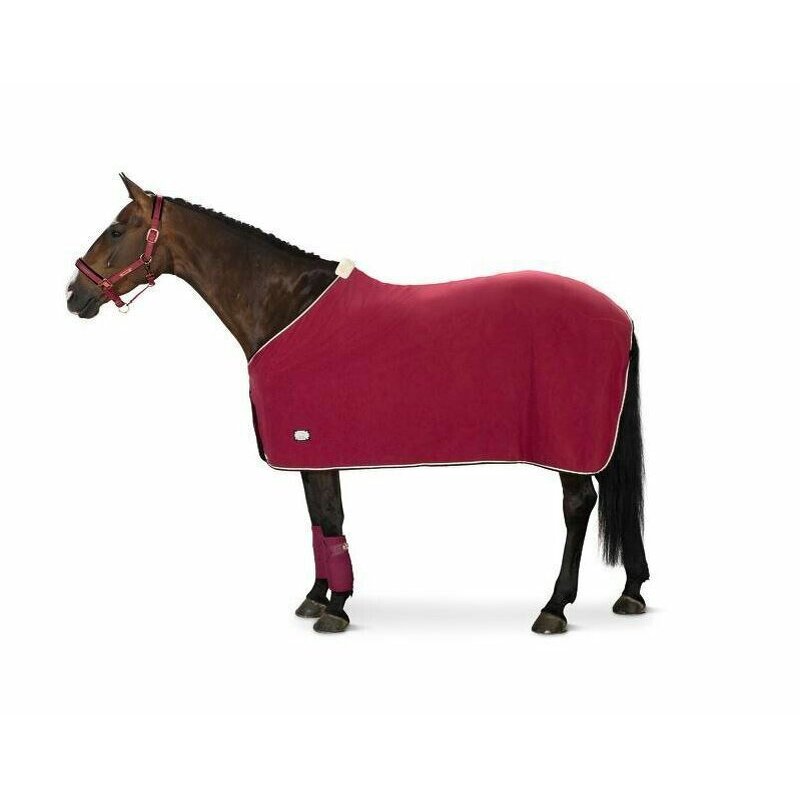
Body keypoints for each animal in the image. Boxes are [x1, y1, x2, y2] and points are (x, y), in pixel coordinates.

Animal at [66, 174, 650, 634]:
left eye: (117, 229)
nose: (74, 295)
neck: (287, 305)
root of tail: (621, 315)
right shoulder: (310, 450)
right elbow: (317, 522)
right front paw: (316, 596)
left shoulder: (315, 445)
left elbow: (330, 518)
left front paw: (338, 607)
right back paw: (632, 591)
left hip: (568, 444)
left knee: (578, 506)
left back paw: (554, 607)